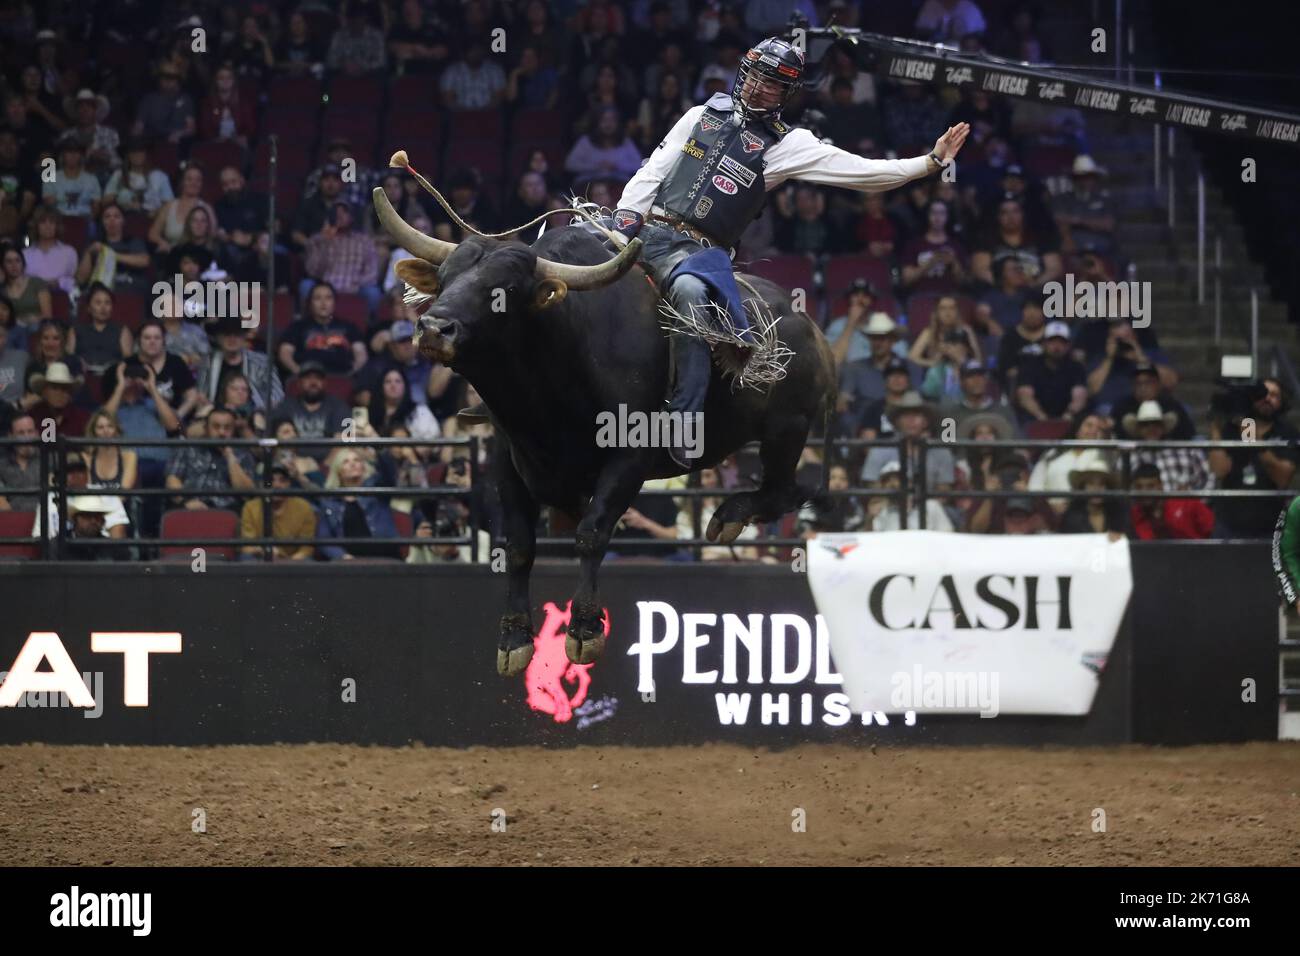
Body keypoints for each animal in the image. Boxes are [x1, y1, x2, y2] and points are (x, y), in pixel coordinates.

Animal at [371, 188, 837, 681]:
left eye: (506, 291)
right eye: (443, 278)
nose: (433, 329)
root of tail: (811, 331)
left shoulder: (629, 459)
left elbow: (592, 533)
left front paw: (585, 628)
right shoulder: (507, 459)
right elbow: (518, 545)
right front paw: (515, 638)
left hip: (786, 430)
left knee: (788, 490)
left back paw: (729, 515)